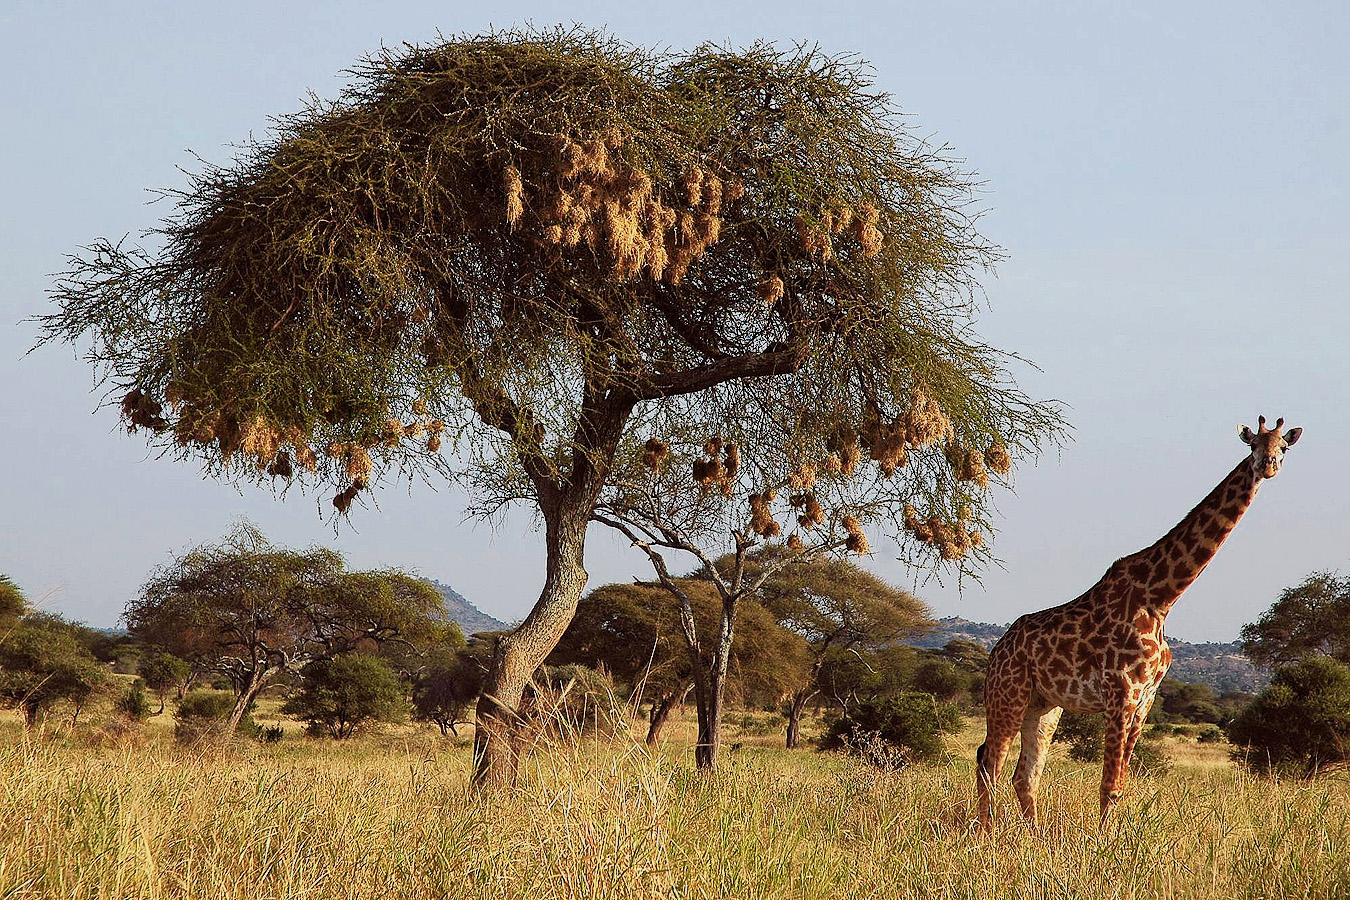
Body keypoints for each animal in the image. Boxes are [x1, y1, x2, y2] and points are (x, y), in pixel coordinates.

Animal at [976, 415, 1302, 829]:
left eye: (1284, 446)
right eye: (1253, 444)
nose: (1268, 465)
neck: (1161, 599)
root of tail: (996, 651)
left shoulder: (1145, 699)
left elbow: (1120, 783)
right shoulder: (1121, 692)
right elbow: (1109, 784)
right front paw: (1104, 842)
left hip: (1044, 705)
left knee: (1024, 775)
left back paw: (1034, 837)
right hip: (1008, 694)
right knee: (990, 764)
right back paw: (986, 835)